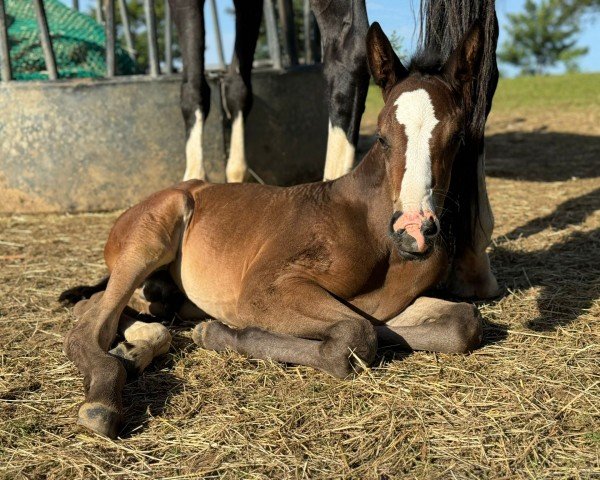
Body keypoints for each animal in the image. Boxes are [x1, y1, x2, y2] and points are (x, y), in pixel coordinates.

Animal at [63, 2, 500, 438]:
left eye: (458, 137)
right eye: (382, 137)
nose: (414, 232)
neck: (374, 232)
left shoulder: (388, 305)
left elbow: (460, 323)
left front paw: (223, 330)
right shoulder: (264, 286)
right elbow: (354, 335)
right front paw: (222, 332)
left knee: (114, 308)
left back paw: (136, 347)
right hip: (148, 240)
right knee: (86, 324)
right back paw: (104, 396)